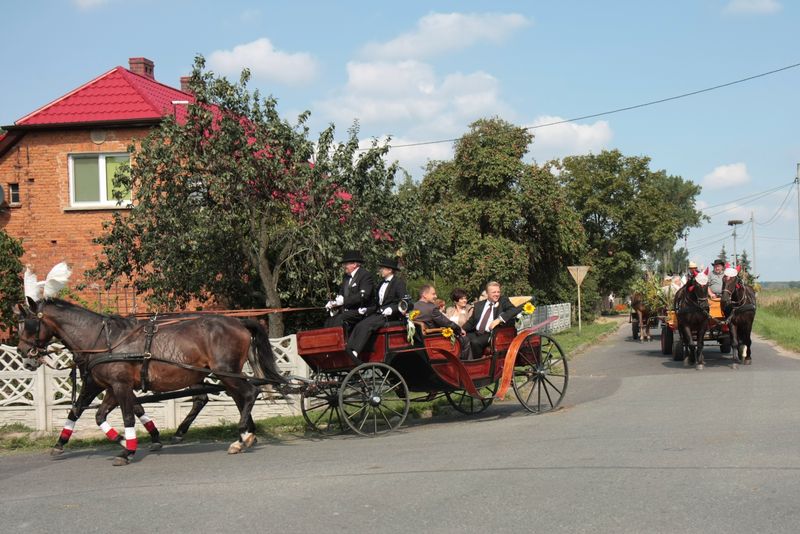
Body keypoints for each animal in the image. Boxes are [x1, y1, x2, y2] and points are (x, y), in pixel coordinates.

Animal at [15, 300, 286, 466]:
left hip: (225, 372)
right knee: (238, 397)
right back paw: (246, 434)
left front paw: (128, 449)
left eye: (29, 324)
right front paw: (124, 441)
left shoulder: (119, 385)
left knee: (248, 394)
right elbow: (96, 414)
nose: (24, 354)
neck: (101, 340)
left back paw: (242, 436)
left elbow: (126, 416)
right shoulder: (110, 386)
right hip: (226, 374)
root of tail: (239, 321)